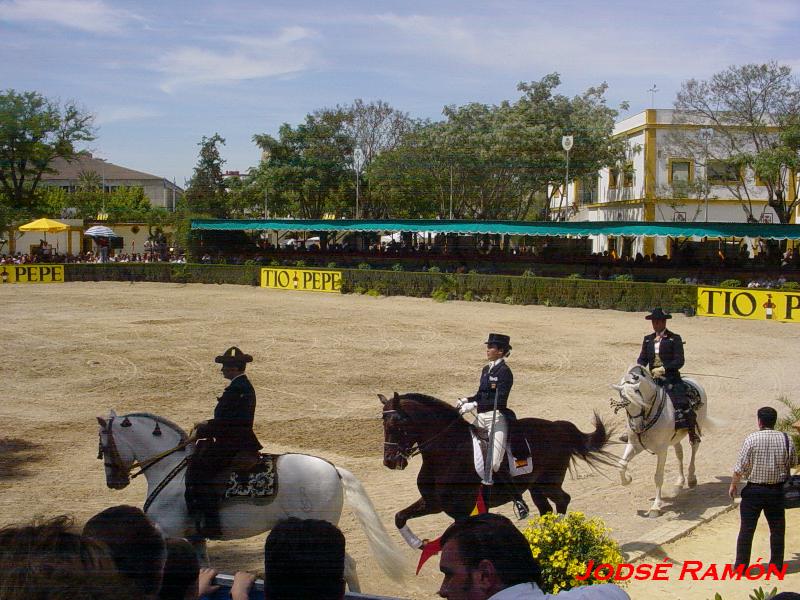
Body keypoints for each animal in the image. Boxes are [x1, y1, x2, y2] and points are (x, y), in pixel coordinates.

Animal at [97, 410, 406, 588]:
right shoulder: (195, 537)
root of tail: (332, 468)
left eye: (103, 445)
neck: (171, 467)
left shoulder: (166, 531)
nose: (114, 482)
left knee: (346, 566)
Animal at [378, 394, 616, 548]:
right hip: (535, 487)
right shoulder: (433, 503)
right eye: (383, 425)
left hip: (549, 482)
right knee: (546, 509)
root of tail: (558, 427)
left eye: (397, 425)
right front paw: (418, 543)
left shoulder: (460, 511)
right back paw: (544, 538)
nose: (390, 461)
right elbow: (399, 517)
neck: (448, 451)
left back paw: (558, 535)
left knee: (563, 500)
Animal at [608, 364, 708, 516]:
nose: (637, 427)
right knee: (679, 453)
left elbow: (658, 476)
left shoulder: (661, 450)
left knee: (694, 450)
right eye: (625, 405)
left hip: (696, 430)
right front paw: (628, 479)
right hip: (675, 439)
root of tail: (695, 382)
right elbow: (621, 465)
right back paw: (680, 481)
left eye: (641, 402)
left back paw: (691, 479)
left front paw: (655, 507)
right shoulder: (634, 445)